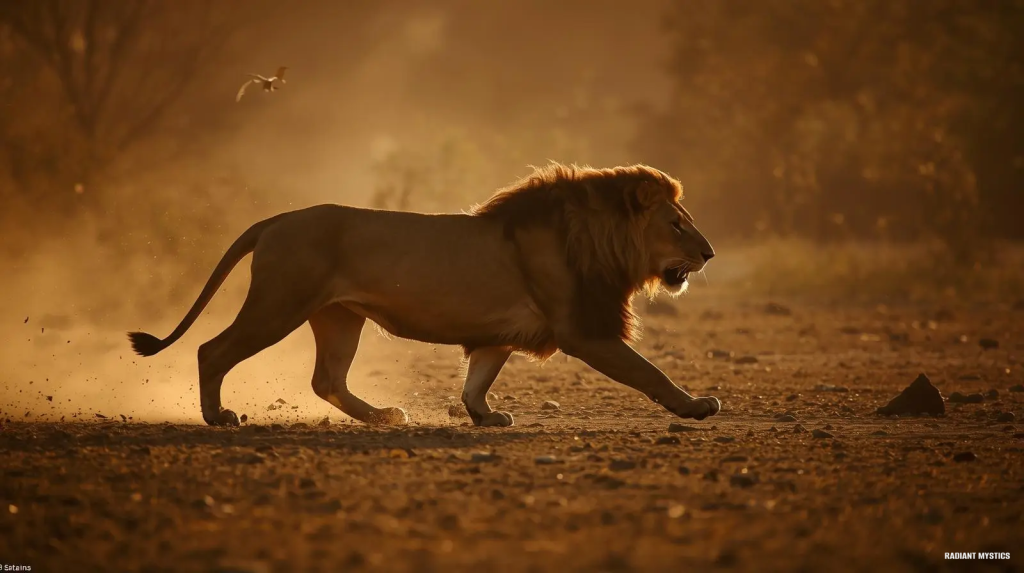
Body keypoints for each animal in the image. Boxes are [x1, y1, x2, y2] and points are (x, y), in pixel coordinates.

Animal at [128, 163, 719, 427]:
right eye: (675, 224)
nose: (710, 253)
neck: (600, 240)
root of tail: (274, 220)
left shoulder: (499, 335)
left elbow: (478, 379)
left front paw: (485, 417)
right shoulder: (583, 331)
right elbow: (648, 372)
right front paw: (695, 405)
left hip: (339, 317)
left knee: (327, 380)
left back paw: (384, 416)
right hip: (279, 305)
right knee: (213, 350)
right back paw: (217, 416)